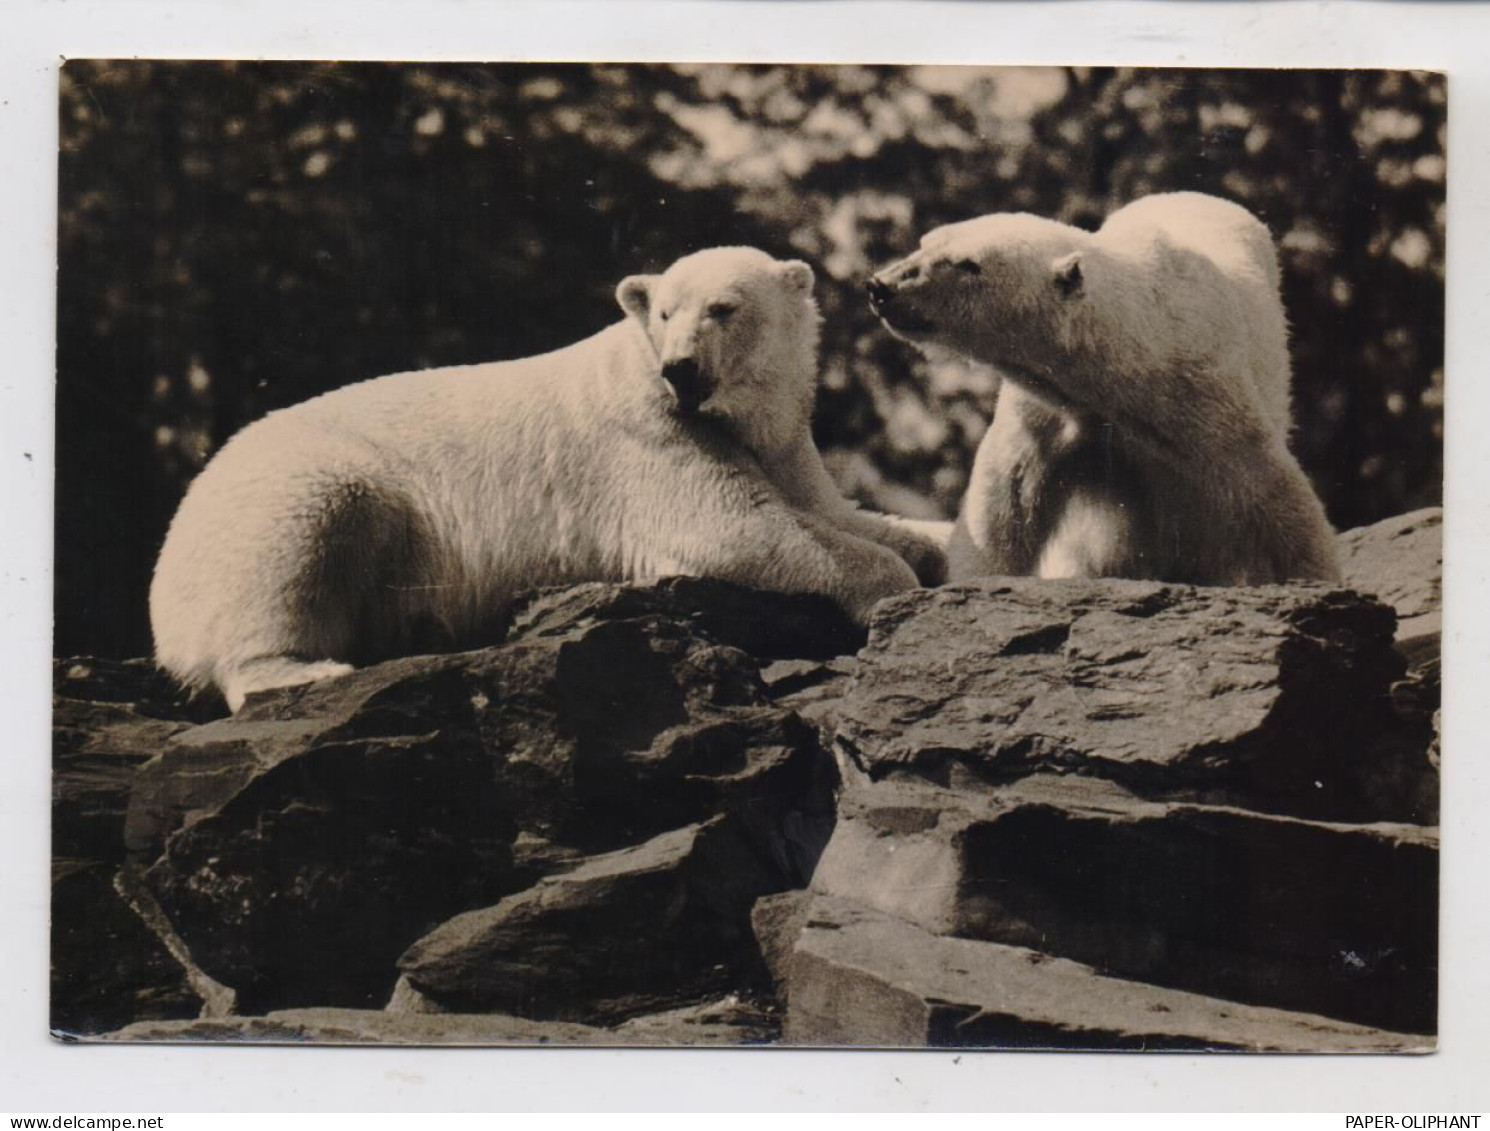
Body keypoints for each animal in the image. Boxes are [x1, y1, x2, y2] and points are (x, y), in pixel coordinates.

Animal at [151, 247, 941, 712]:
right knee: (294, 544)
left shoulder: (779, 445)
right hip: (292, 490)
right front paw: (892, 592)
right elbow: (733, 530)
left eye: (725, 308)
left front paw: (930, 548)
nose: (681, 368)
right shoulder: (651, 436)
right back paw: (300, 671)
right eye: (665, 311)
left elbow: (834, 510)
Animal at [864, 189, 1341, 584]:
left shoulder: (1204, 400)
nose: (881, 286)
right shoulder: (1049, 412)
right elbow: (1005, 497)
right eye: (926, 242)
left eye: (968, 265)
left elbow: (1271, 489)